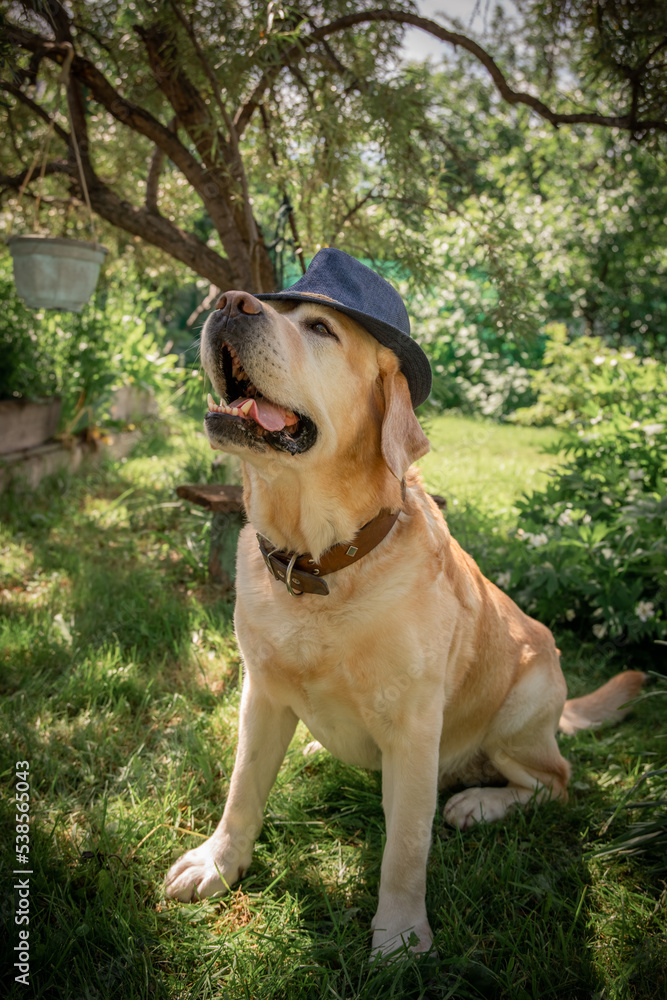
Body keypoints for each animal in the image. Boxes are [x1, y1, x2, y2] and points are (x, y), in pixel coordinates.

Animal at [164, 248, 644, 952]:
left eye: (320, 329)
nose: (228, 302)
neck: (321, 565)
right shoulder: (262, 695)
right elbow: (242, 789)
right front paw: (219, 863)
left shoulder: (416, 729)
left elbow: (406, 844)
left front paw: (400, 937)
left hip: (517, 716)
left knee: (553, 782)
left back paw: (479, 802)